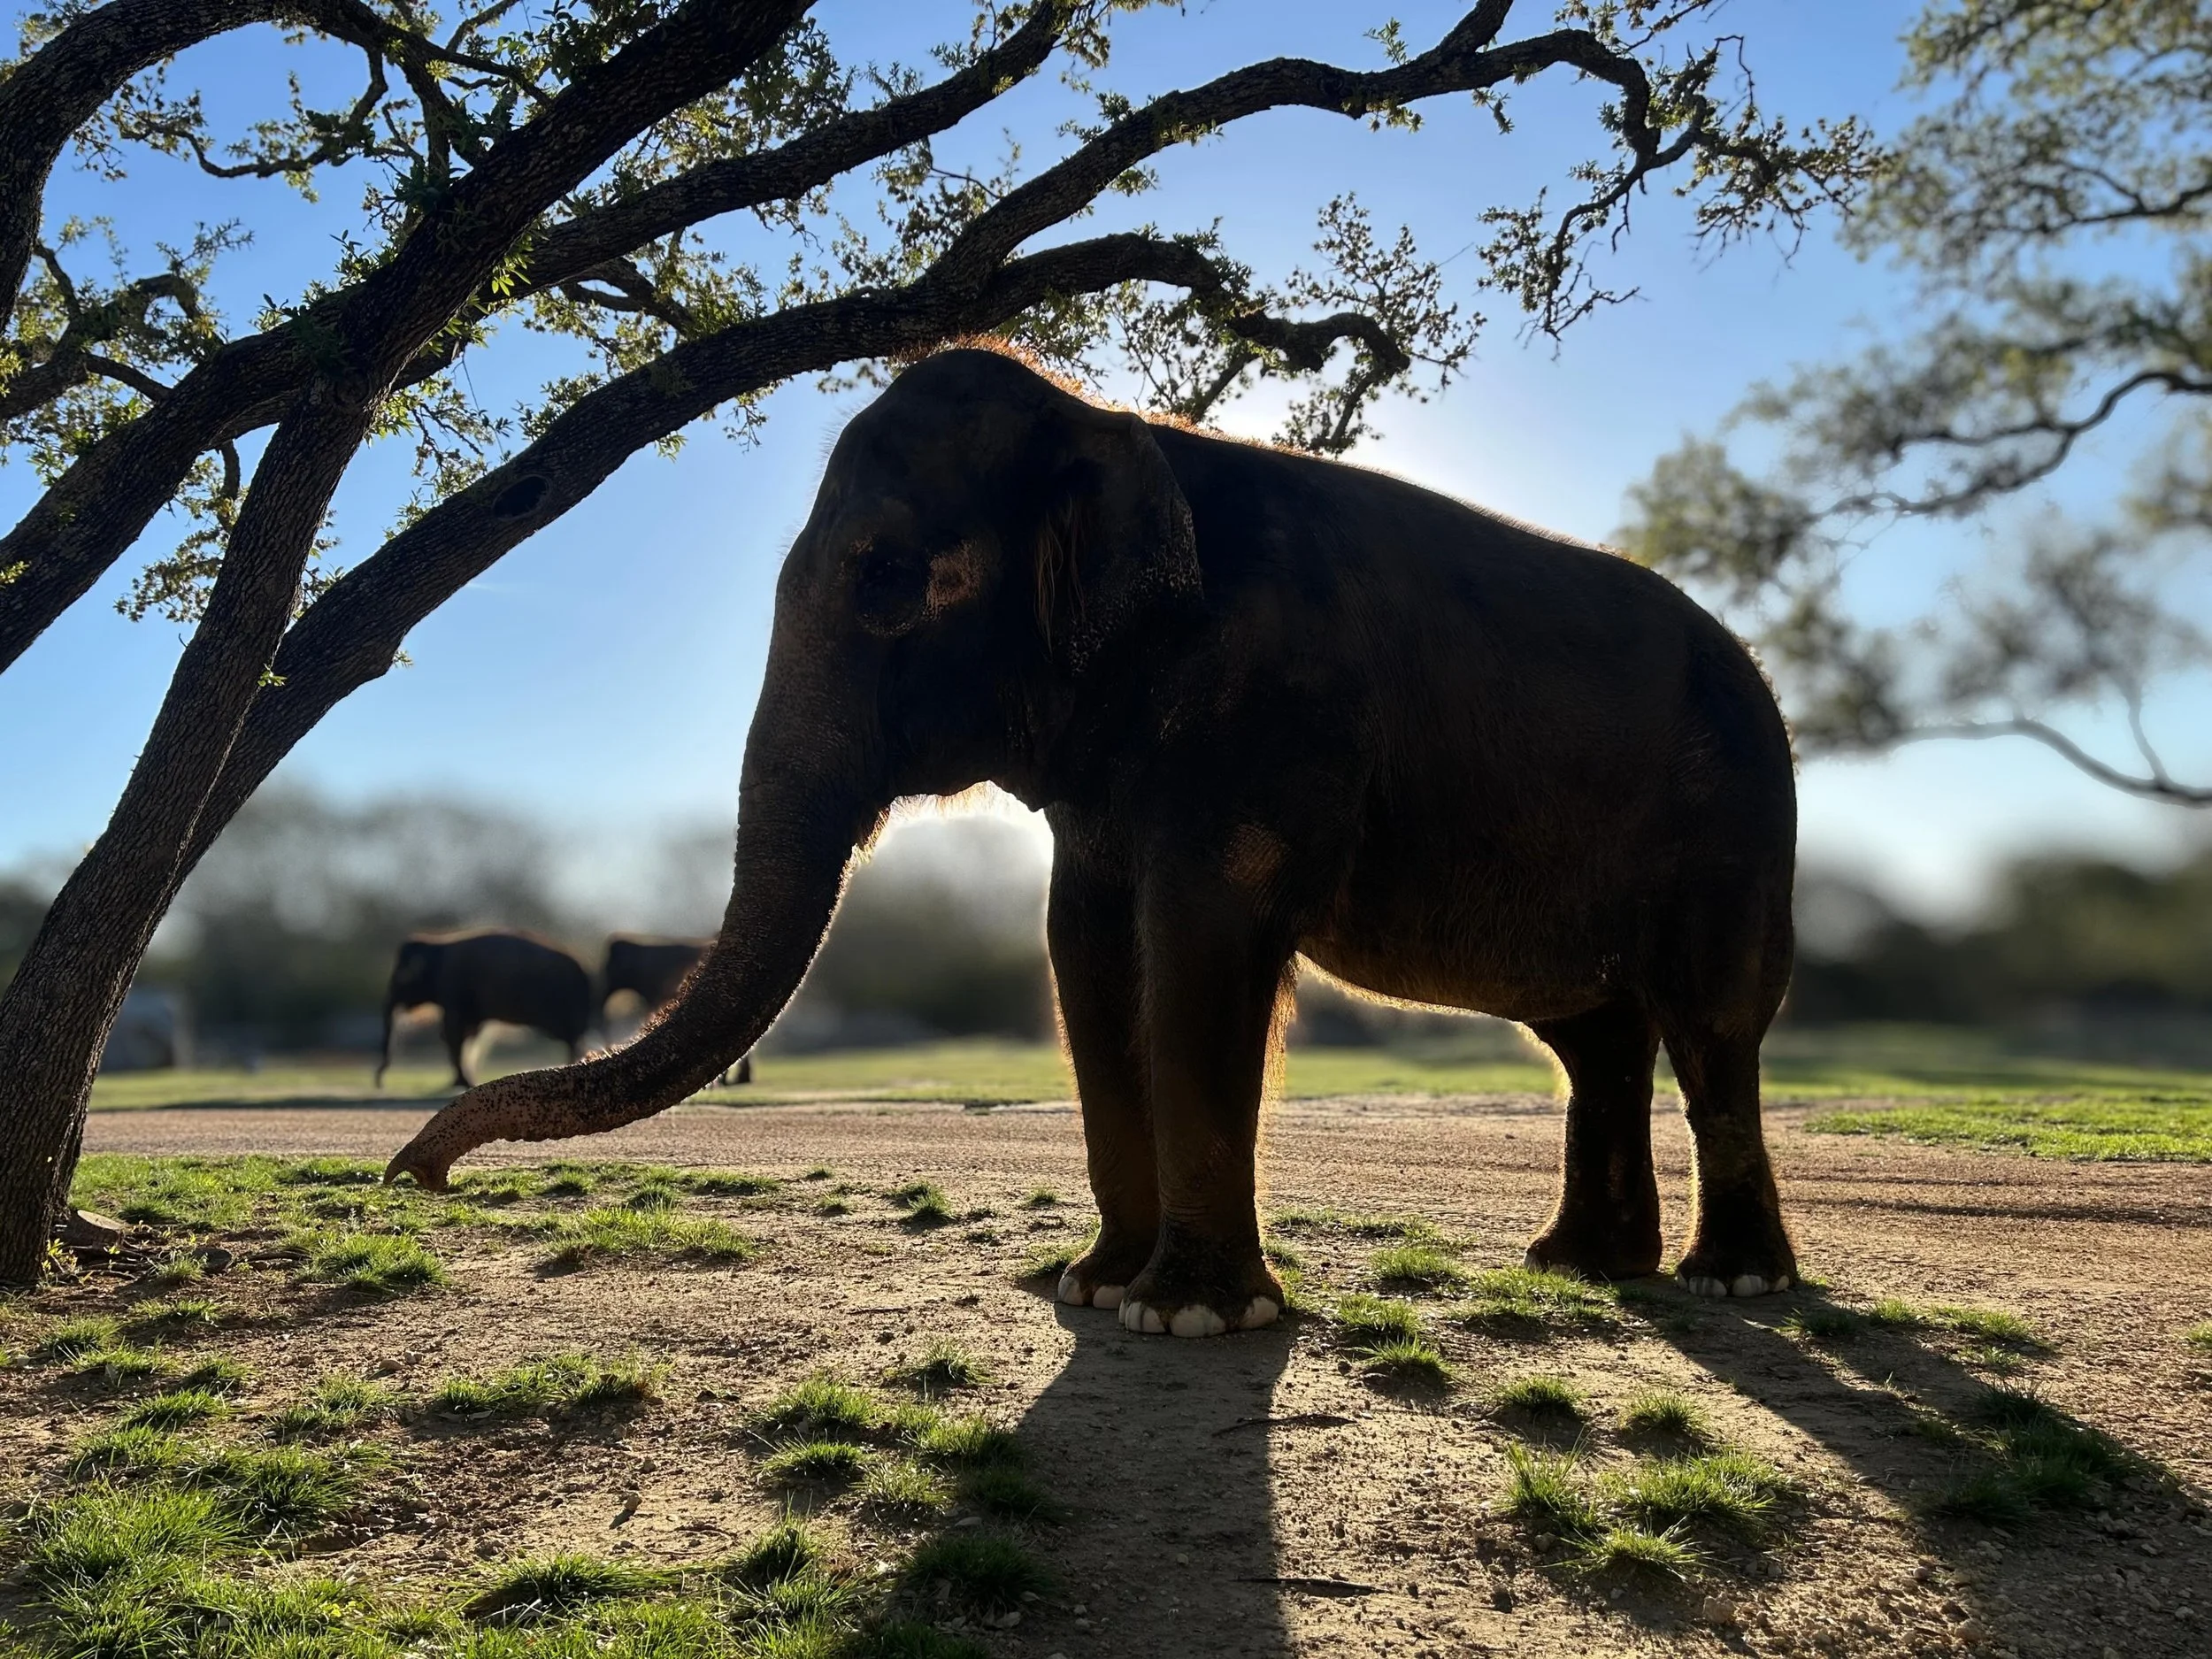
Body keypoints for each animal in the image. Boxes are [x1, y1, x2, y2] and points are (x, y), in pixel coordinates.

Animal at [375, 931, 593, 1089]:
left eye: (400, 978)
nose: (380, 1084)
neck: (437, 942)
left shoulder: (453, 986)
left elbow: (454, 1032)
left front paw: (465, 1083)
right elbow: (469, 1033)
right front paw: (463, 1082)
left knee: (571, 1037)